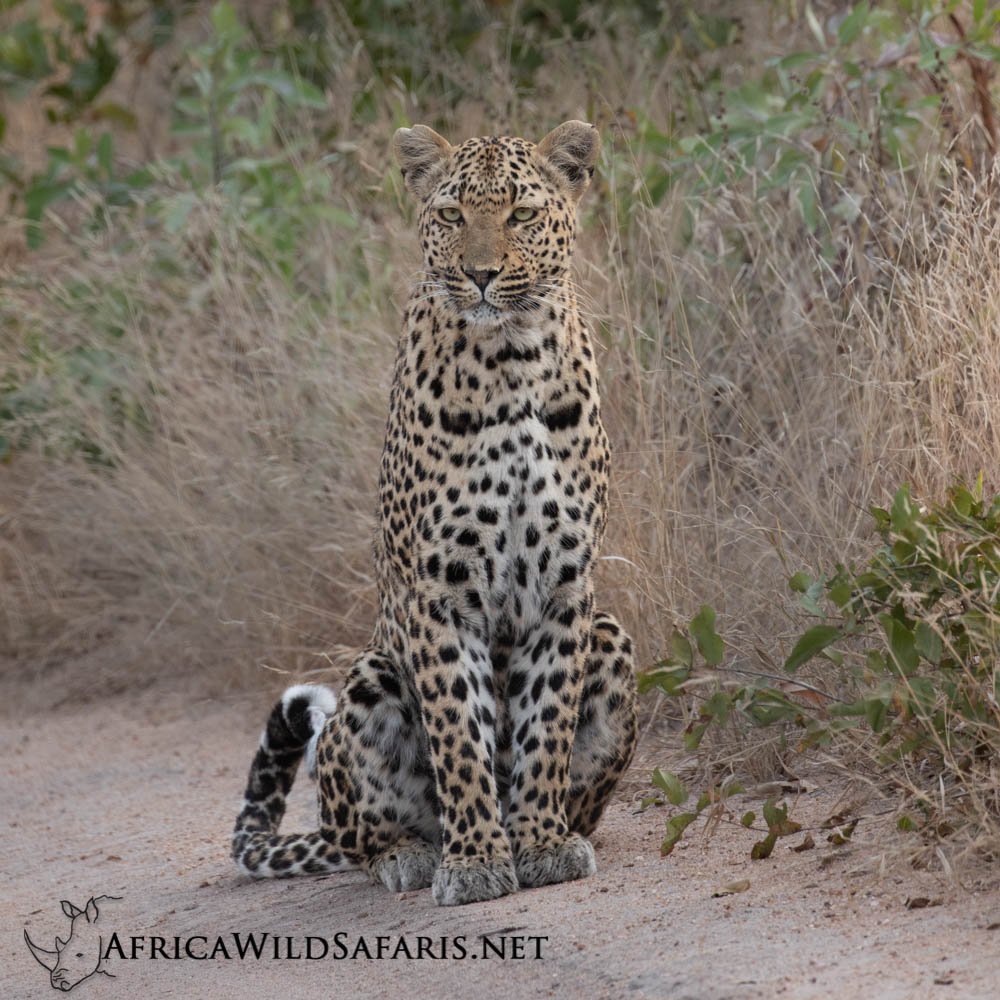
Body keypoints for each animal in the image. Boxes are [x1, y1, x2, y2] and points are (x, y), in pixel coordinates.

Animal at [231, 119, 636, 908]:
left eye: (521, 213)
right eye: (450, 215)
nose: (479, 274)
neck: (511, 358)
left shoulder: (566, 587)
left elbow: (545, 726)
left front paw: (540, 844)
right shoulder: (438, 590)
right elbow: (458, 736)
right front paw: (476, 860)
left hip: (610, 635)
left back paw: (556, 830)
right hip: (368, 680)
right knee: (363, 836)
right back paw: (414, 854)